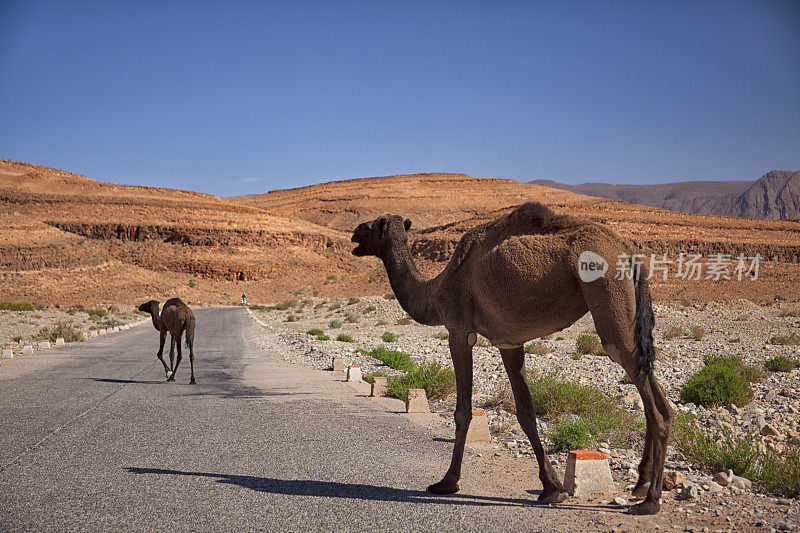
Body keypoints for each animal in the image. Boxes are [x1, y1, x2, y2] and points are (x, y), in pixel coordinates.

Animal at [354, 202, 672, 512]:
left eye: (373, 224)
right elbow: (526, 413)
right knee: (657, 395)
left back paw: (650, 500)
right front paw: (552, 487)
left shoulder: (458, 330)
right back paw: (642, 483)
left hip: (607, 293)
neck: (437, 288)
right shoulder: (509, 342)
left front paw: (447, 482)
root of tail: (628, 251)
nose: (355, 233)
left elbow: (463, 411)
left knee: (637, 379)